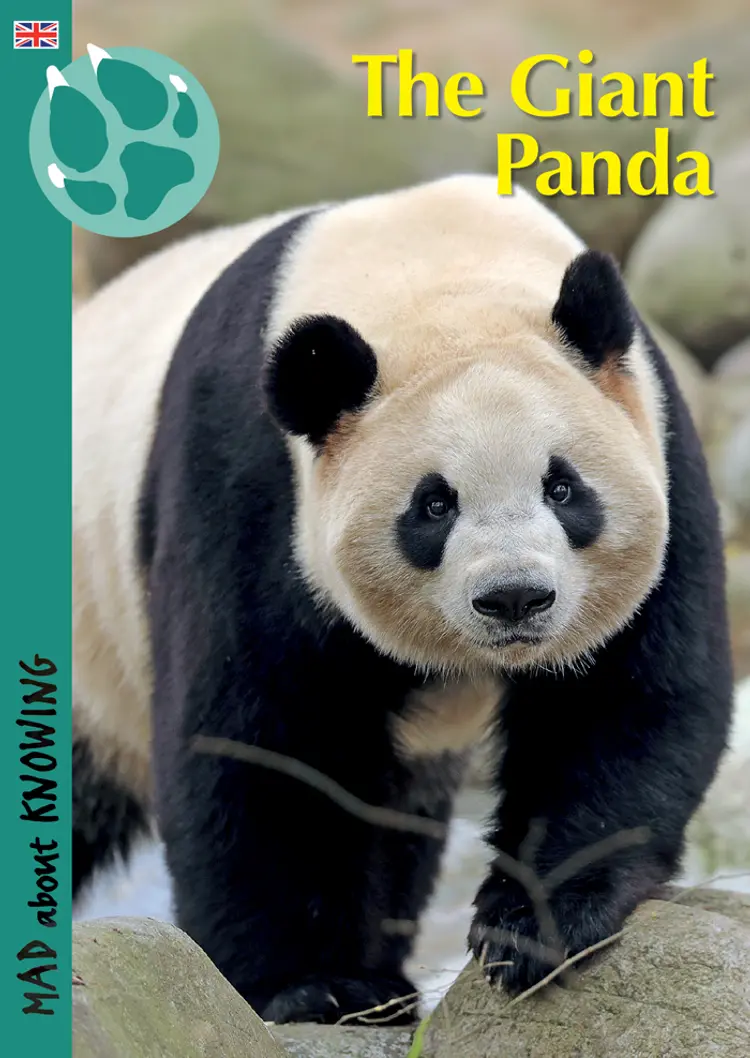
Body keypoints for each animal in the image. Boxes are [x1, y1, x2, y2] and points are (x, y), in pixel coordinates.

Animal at [72, 174, 734, 1025]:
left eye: (562, 488)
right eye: (434, 505)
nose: (515, 599)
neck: (438, 271)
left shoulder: (659, 444)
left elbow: (624, 696)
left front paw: (535, 923)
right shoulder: (246, 478)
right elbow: (259, 737)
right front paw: (309, 984)